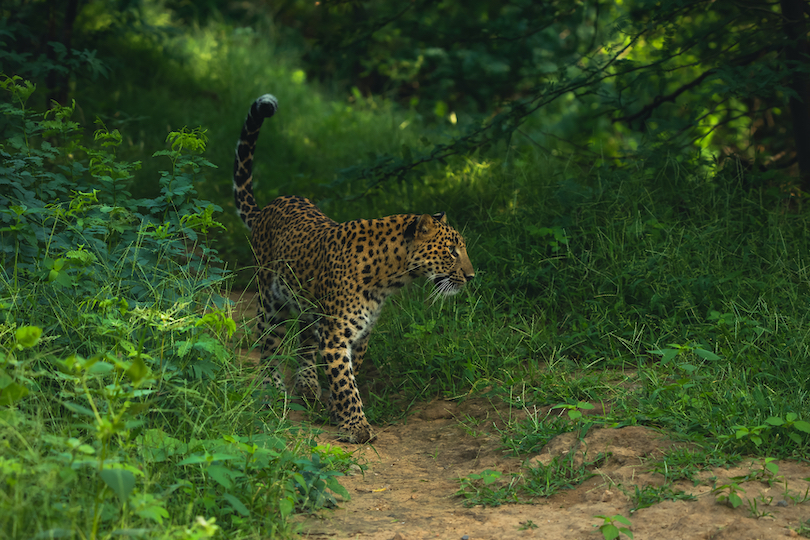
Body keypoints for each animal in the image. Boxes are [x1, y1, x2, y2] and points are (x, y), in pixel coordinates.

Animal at [232, 96, 474, 442]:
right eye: (452, 251)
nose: (471, 276)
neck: (390, 277)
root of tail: (268, 207)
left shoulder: (360, 335)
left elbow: (349, 376)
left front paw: (337, 412)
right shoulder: (336, 336)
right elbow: (346, 383)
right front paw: (357, 427)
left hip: (308, 308)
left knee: (304, 342)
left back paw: (307, 386)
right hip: (271, 300)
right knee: (268, 344)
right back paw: (273, 390)